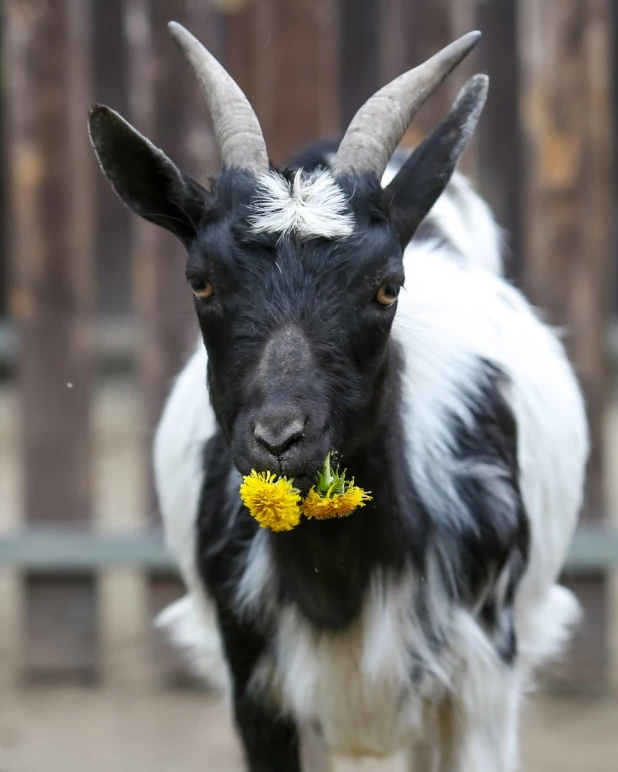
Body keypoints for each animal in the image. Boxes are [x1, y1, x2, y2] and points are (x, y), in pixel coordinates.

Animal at [88, 22, 588, 772]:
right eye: (200, 280)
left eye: (387, 285)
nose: (279, 439)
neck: (340, 576)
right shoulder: (254, 679)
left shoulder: (484, 678)